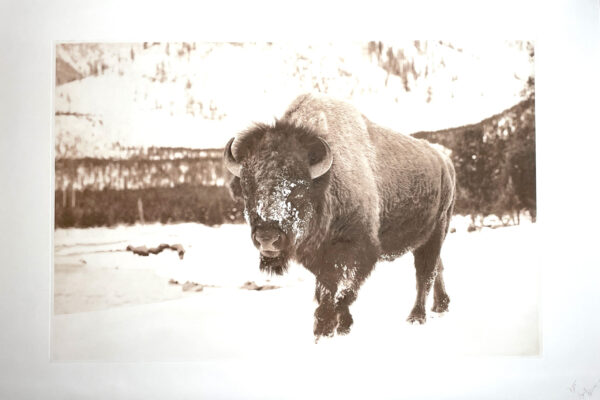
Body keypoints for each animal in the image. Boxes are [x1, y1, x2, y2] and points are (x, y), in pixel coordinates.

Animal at [224, 94, 454, 340]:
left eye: (299, 188)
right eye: (247, 188)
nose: (267, 237)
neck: (327, 181)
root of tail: (444, 160)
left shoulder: (358, 252)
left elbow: (343, 291)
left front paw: (328, 327)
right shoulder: (318, 257)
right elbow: (326, 289)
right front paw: (334, 327)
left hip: (437, 231)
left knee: (425, 274)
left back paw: (416, 317)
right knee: (437, 267)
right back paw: (440, 306)